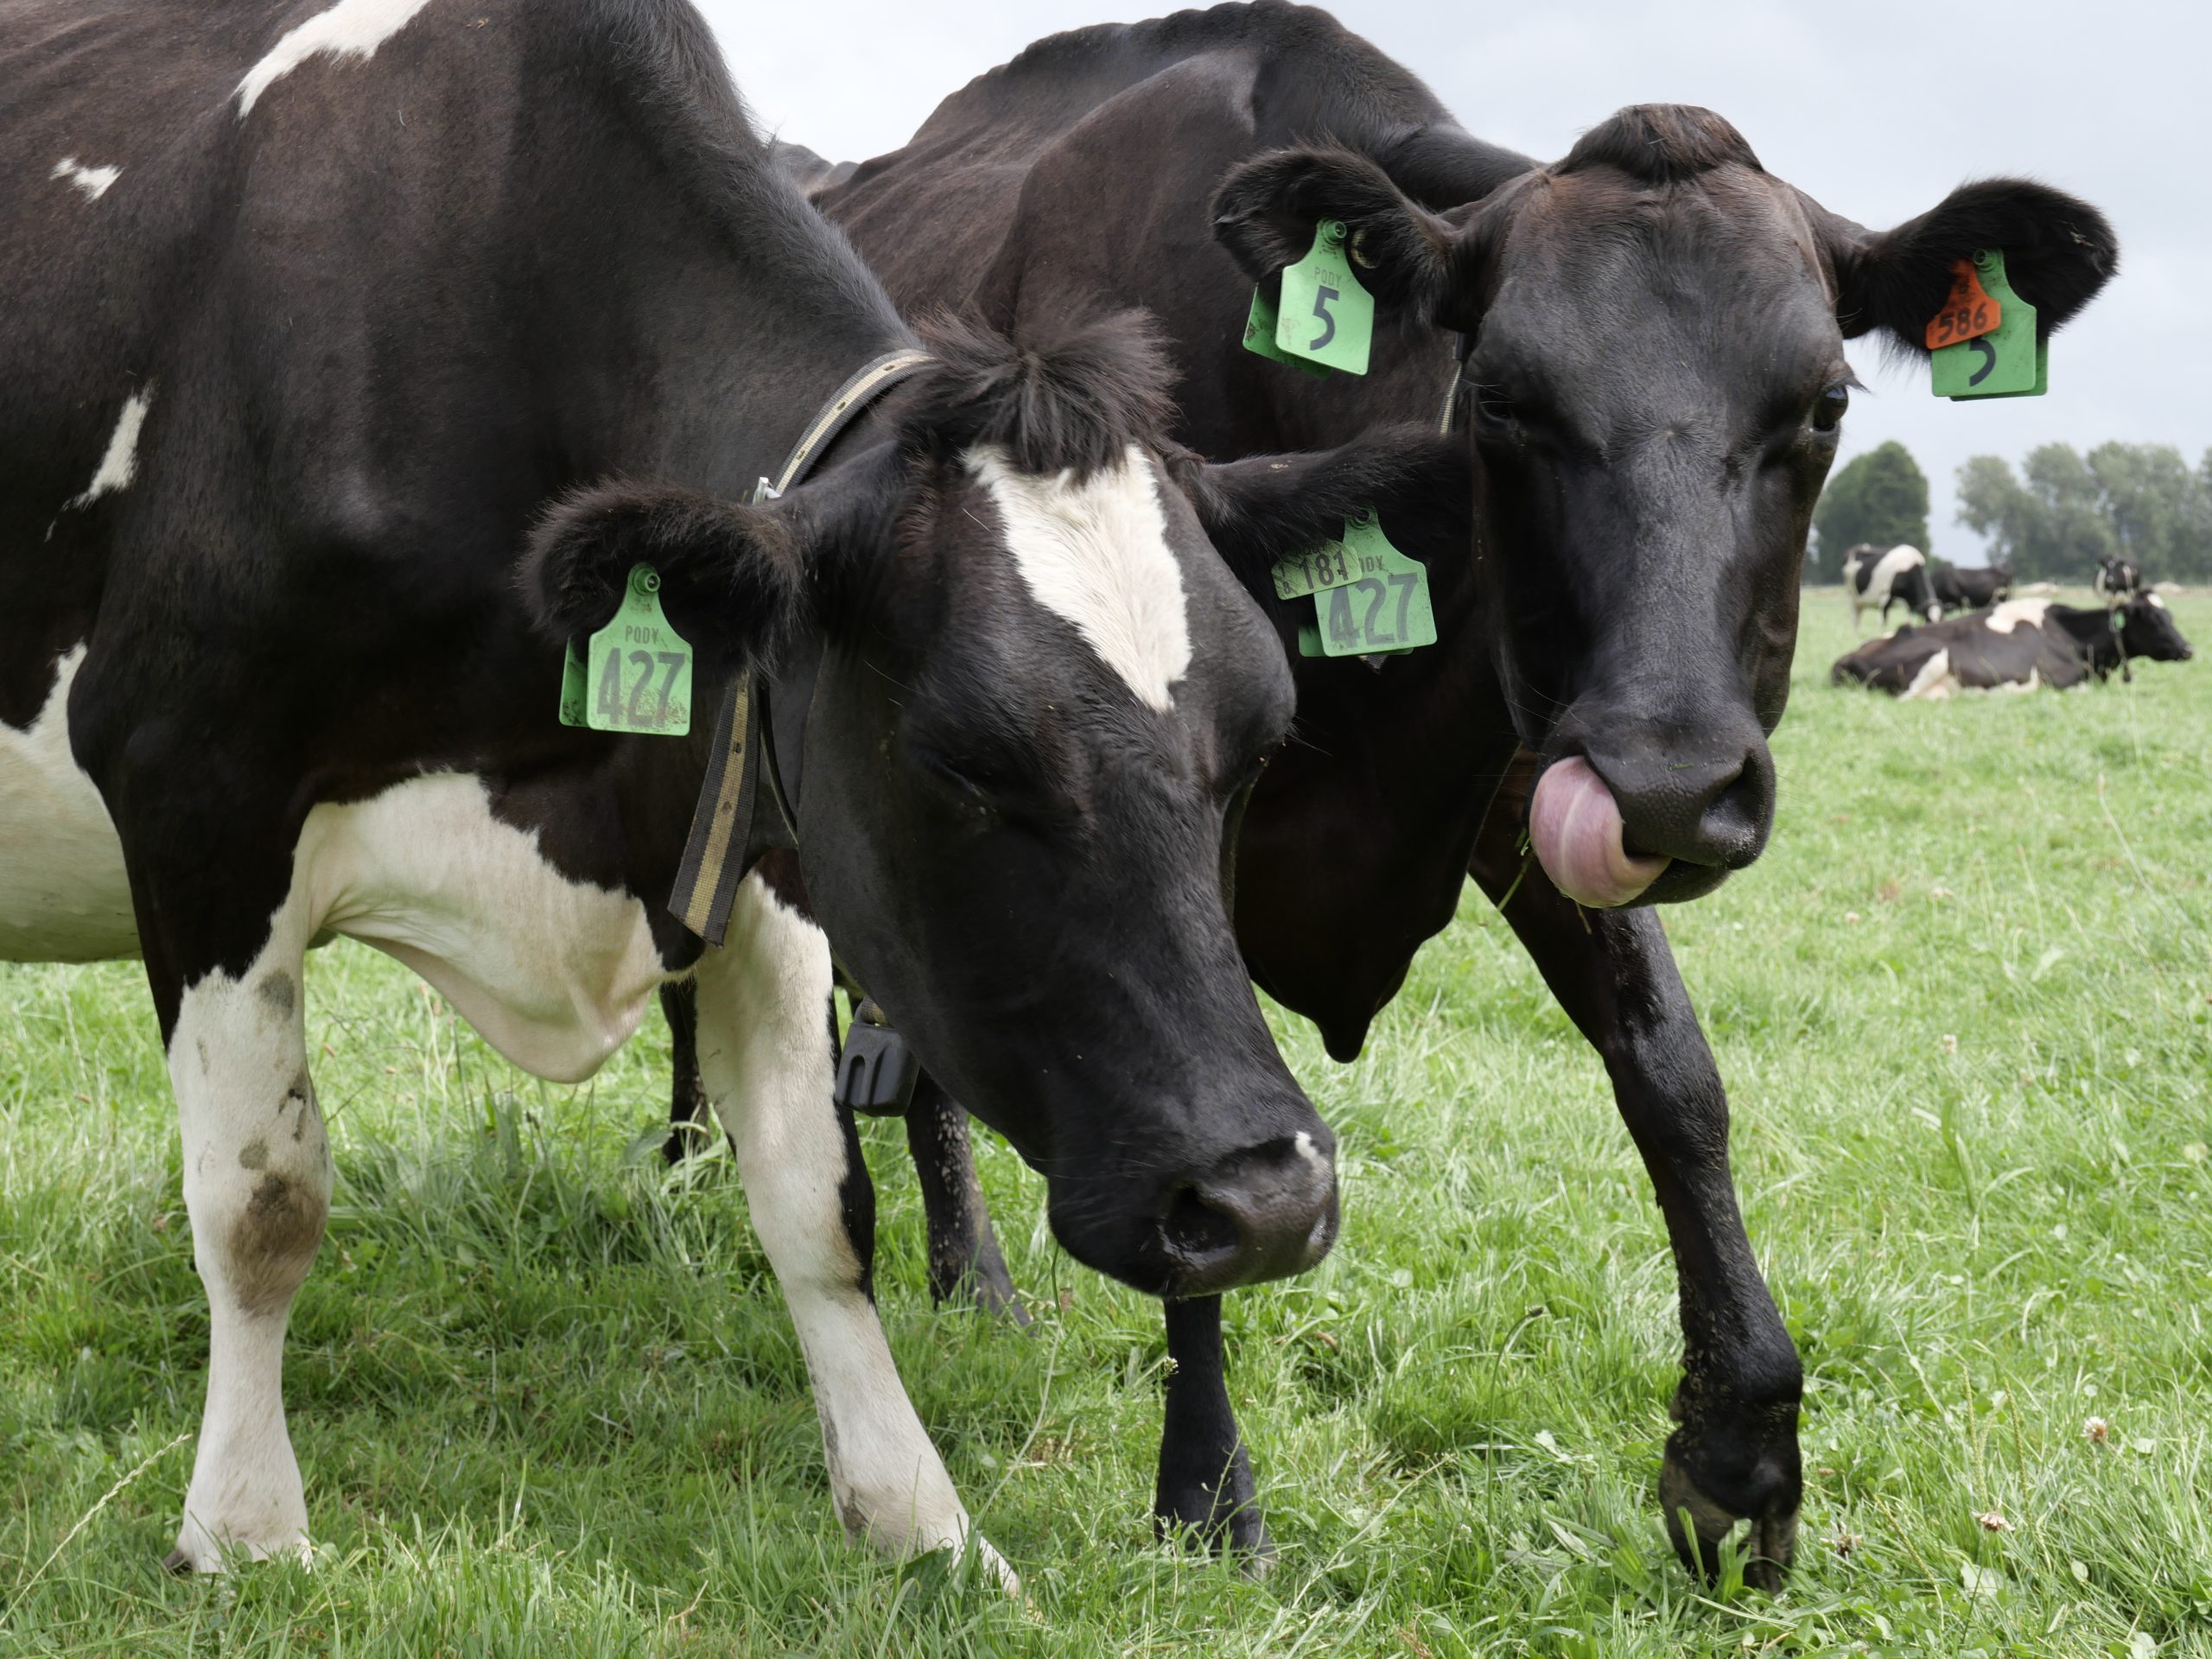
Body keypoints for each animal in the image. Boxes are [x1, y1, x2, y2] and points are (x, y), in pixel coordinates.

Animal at [0, 0, 1499, 1581]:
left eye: (1262, 739)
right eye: (961, 756)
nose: (1267, 1200)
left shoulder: (765, 838)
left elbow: (819, 1200)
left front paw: (920, 1520)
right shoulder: (197, 800)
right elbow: (263, 1199)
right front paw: (245, 1529)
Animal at [676, 0, 2115, 1588]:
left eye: (1823, 404)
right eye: (1501, 397)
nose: (1679, 781)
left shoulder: (1536, 756)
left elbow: (1673, 1075)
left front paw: (1738, 1452)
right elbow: (1206, 1117)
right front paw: (1210, 1489)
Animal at [1830, 595, 2192, 695]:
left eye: (2170, 614)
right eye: (2154, 619)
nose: (2188, 649)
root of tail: (1846, 657)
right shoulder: (2060, 681)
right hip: (1933, 660)